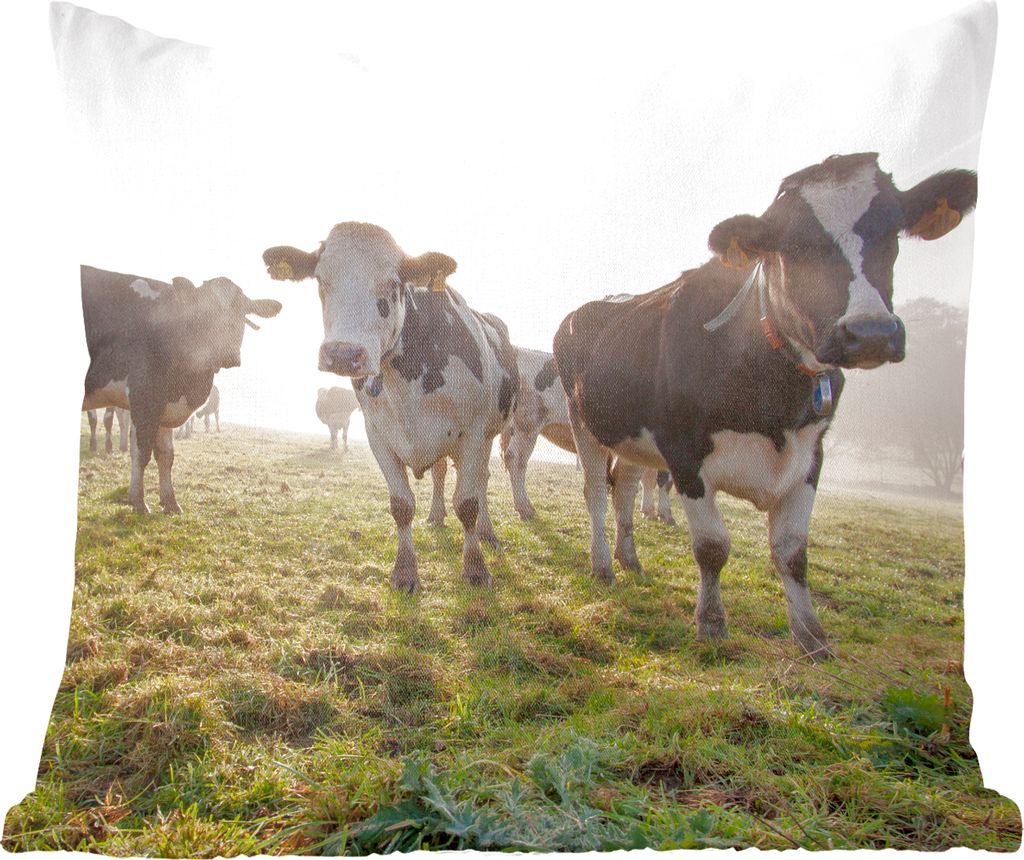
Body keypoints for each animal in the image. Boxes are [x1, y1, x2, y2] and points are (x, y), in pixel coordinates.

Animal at [81, 266, 281, 513]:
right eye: (204, 311)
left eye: (242, 311)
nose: (229, 355)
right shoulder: (144, 396)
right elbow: (142, 451)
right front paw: (139, 501)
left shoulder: (165, 402)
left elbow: (166, 454)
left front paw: (170, 502)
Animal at [263, 223, 518, 593]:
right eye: (321, 279)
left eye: (393, 282)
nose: (343, 353)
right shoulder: (378, 435)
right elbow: (401, 505)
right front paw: (405, 572)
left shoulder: (472, 433)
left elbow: (468, 503)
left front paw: (475, 568)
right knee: (441, 473)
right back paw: (436, 515)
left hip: (488, 435)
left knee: (480, 482)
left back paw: (486, 532)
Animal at [553, 153, 977, 660]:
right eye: (791, 246)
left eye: (892, 230)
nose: (871, 331)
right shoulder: (684, 450)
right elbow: (712, 546)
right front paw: (712, 624)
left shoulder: (812, 454)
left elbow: (792, 551)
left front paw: (812, 638)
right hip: (586, 423)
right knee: (597, 492)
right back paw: (602, 566)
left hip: (633, 436)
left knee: (625, 490)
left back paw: (629, 559)